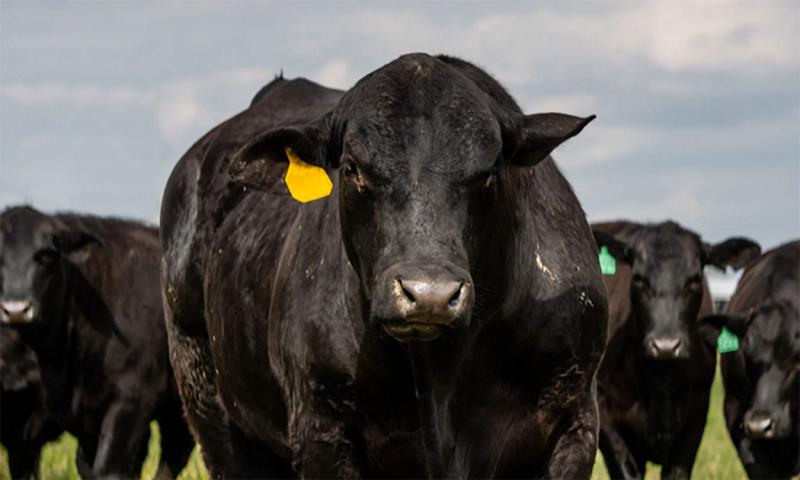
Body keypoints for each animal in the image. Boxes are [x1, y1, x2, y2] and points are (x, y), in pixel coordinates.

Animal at [160, 53, 608, 478]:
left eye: (489, 171)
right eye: (352, 168)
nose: (429, 294)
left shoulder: (575, 423)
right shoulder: (320, 429)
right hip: (208, 403)